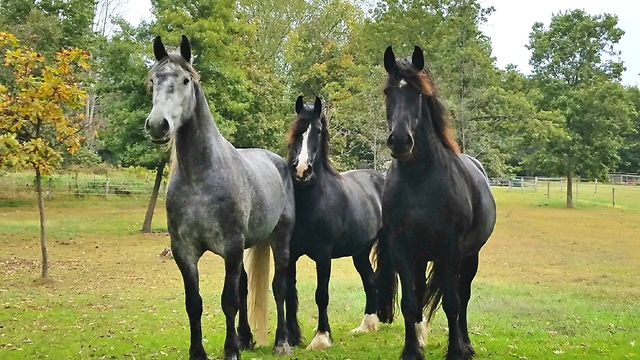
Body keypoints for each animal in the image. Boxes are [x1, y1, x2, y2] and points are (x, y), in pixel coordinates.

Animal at [145, 35, 296, 360]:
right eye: (153, 80)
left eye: (186, 80)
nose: (157, 125)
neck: (200, 179)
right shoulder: (184, 251)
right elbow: (195, 303)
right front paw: (199, 352)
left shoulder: (231, 247)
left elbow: (228, 301)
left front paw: (230, 351)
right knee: (245, 288)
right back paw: (246, 338)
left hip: (279, 240)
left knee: (278, 287)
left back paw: (282, 342)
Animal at [284, 95, 384, 348]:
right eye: (296, 129)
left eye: (318, 131)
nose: (302, 170)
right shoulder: (290, 253)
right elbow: (289, 292)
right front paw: (291, 337)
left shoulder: (323, 254)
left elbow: (321, 294)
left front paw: (322, 337)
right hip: (360, 252)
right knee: (371, 282)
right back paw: (367, 325)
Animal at [378, 45, 498, 360]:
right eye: (387, 92)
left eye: (418, 93)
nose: (400, 141)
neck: (419, 180)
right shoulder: (402, 249)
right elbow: (410, 302)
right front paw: (411, 351)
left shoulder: (451, 249)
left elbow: (453, 303)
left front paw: (456, 350)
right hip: (422, 258)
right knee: (422, 294)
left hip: (469, 256)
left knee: (462, 297)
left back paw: (466, 344)